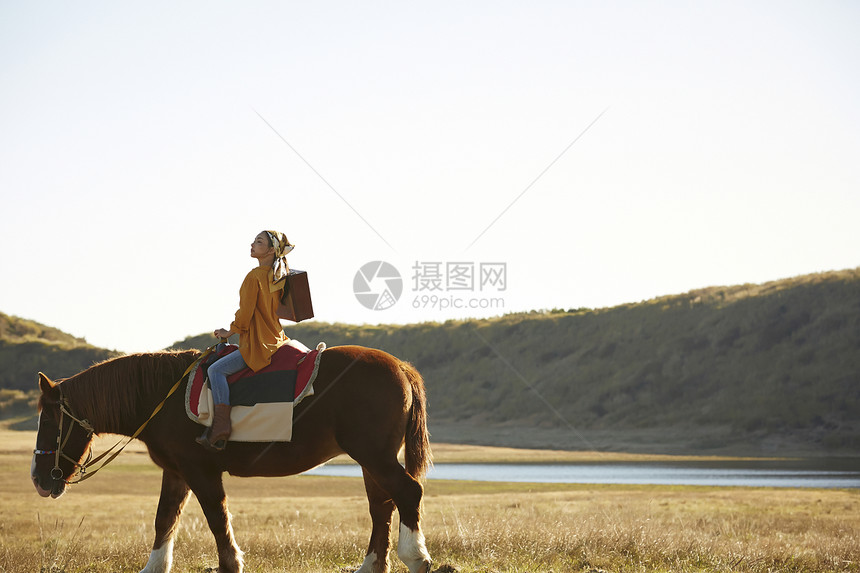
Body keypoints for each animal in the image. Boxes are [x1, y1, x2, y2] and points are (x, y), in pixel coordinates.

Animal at [30, 344, 434, 572]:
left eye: (48, 420)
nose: (38, 479)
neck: (162, 398)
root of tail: (401, 367)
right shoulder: (176, 473)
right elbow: (165, 520)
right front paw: (154, 567)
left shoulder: (201, 471)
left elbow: (216, 518)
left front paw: (231, 563)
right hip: (370, 461)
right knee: (382, 506)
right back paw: (371, 565)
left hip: (374, 455)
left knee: (407, 493)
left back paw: (416, 557)